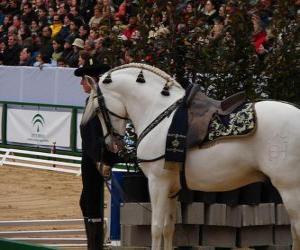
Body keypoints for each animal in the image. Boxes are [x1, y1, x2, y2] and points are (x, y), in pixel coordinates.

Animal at [82, 63, 300, 250]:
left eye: (98, 109)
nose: (112, 144)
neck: (159, 112)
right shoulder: (172, 187)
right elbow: (169, 228)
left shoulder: (157, 182)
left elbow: (156, 228)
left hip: (290, 189)